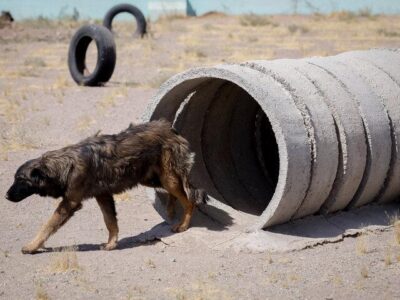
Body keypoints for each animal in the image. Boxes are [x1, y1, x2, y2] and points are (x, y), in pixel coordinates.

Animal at [5, 119, 206, 253]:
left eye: (20, 180)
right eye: (15, 179)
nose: (6, 196)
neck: (65, 165)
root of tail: (170, 128)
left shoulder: (69, 203)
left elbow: (47, 226)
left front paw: (32, 246)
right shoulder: (103, 196)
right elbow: (110, 222)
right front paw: (111, 244)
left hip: (167, 178)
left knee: (189, 200)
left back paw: (182, 225)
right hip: (152, 178)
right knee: (177, 194)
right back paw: (171, 210)